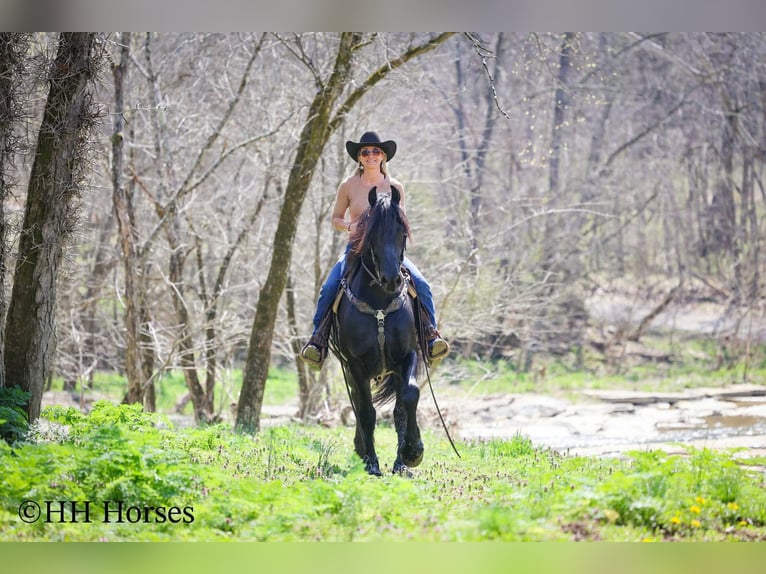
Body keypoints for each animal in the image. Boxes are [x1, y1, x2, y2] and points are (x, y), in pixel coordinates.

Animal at [330, 185, 424, 477]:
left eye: (402, 233)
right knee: (359, 405)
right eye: (372, 235)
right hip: (349, 369)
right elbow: (367, 412)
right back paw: (362, 451)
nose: (392, 279)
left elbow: (409, 397)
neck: (380, 304)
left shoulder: (408, 355)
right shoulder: (355, 364)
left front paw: (411, 454)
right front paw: (371, 462)